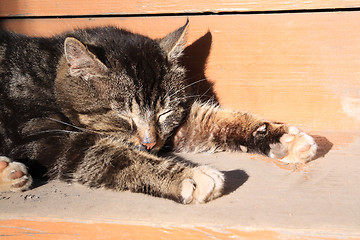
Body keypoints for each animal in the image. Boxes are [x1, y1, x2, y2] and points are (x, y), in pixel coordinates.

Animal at [0, 20, 316, 203]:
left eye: (164, 112)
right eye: (123, 115)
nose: (150, 143)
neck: (49, 72)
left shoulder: (176, 127)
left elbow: (211, 120)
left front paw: (283, 138)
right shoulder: (43, 137)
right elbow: (110, 154)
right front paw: (187, 176)